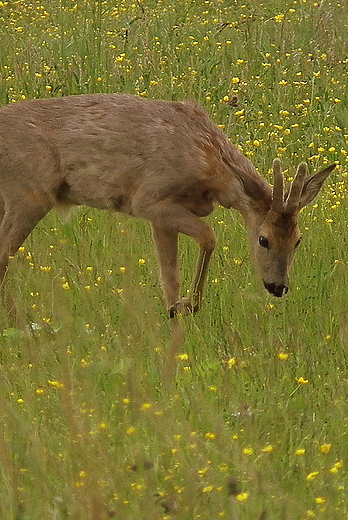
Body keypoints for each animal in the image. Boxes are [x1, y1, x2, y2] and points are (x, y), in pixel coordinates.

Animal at [0, 94, 338, 316]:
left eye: (298, 240)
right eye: (263, 240)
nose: (278, 286)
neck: (208, 160)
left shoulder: (160, 218)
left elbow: (169, 276)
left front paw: (174, 312)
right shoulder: (149, 200)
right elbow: (208, 236)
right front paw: (190, 306)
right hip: (29, 194)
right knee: (4, 254)